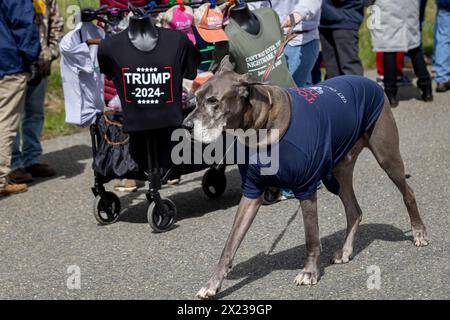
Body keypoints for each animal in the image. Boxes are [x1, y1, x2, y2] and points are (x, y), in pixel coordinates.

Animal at [184, 56, 428, 298]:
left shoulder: (306, 188)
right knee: (354, 211)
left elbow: (311, 238)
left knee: (408, 192)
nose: (186, 125)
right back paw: (346, 250)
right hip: (339, 172)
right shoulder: (252, 192)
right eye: (196, 98)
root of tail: (369, 83)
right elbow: (230, 243)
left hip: (387, 156)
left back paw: (418, 232)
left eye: (213, 101)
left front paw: (310, 273)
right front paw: (213, 283)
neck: (262, 126)